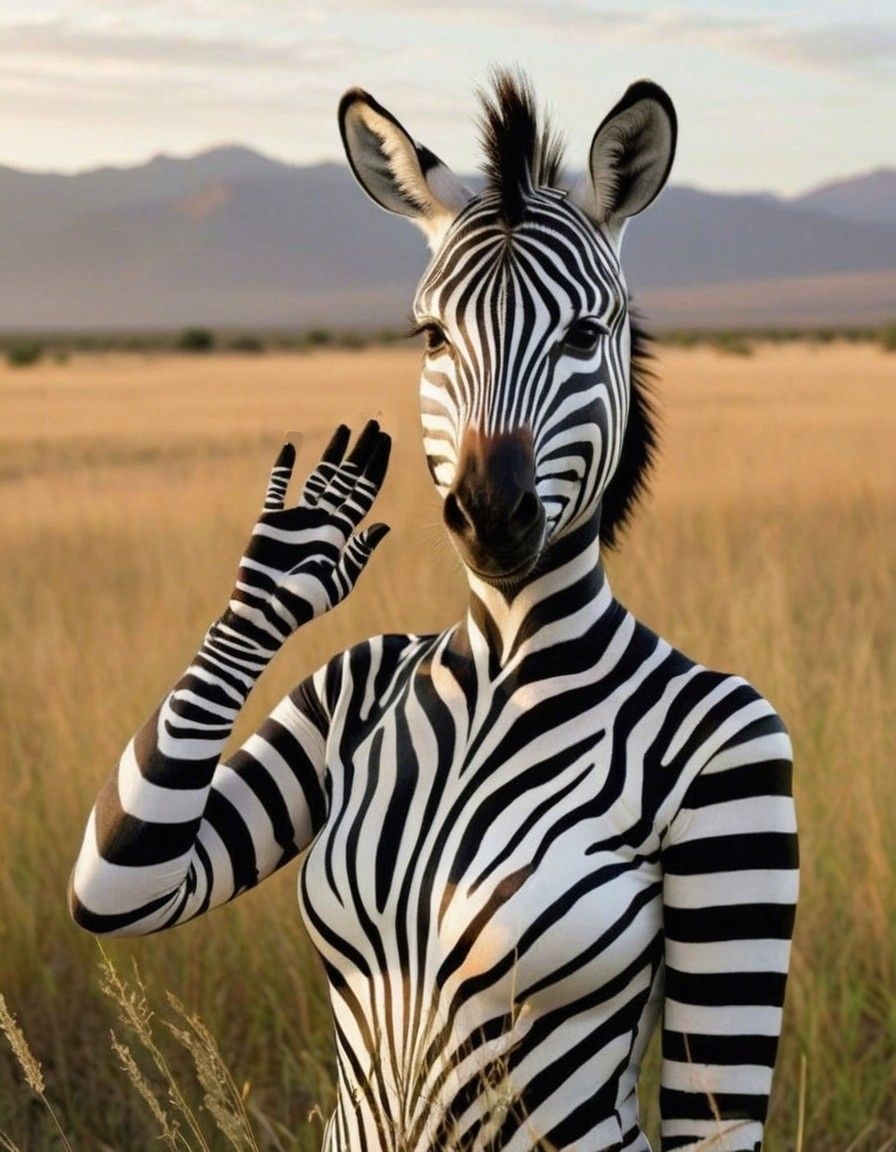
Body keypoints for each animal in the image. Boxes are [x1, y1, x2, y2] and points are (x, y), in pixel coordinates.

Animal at [70, 73, 798, 1152]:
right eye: (431, 337)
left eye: (585, 335)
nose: (492, 512)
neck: (508, 652)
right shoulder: (340, 682)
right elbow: (127, 882)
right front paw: (297, 553)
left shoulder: (748, 764)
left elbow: (713, 1112)